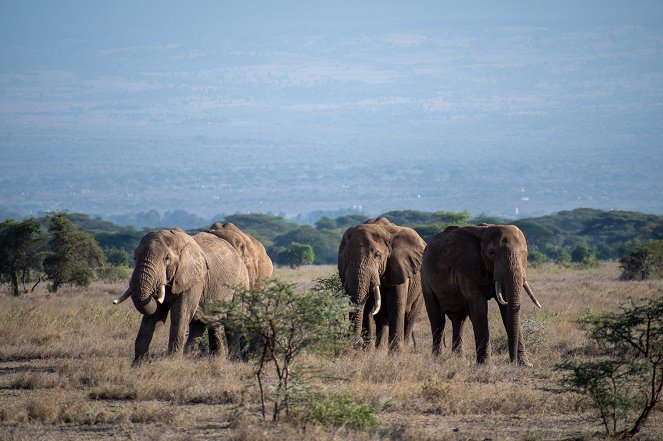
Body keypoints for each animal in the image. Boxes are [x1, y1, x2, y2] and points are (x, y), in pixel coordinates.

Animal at [112, 227, 270, 364]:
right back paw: (192, 358)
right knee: (201, 322)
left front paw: (171, 362)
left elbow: (180, 313)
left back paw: (231, 359)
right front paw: (138, 365)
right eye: (134, 257)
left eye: (167, 259)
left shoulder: (194, 279)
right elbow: (154, 315)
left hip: (241, 282)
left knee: (232, 321)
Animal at [340, 215, 428, 352]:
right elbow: (367, 309)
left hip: (420, 291)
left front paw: (395, 354)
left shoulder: (399, 267)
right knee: (381, 319)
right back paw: (379, 350)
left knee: (409, 318)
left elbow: (396, 305)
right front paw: (367, 352)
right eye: (346, 257)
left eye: (377, 255)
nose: (356, 343)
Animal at [422, 223, 544, 364]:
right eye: (491, 253)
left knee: (460, 320)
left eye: (524, 253)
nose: (512, 361)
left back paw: (459, 359)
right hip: (425, 278)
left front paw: (524, 364)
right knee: (437, 319)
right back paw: (436, 360)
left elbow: (506, 307)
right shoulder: (467, 266)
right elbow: (479, 308)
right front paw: (486, 365)